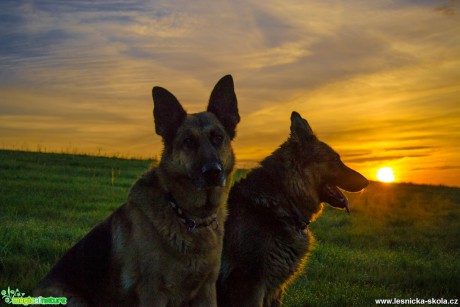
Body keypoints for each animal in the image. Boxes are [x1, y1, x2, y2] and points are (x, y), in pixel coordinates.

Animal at [33, 75, 241, 307]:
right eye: (188, 142)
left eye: (218, 138)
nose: (213, 172)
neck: (190, 217)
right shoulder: (153, 293)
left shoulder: (207, 289)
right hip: (74, 299)